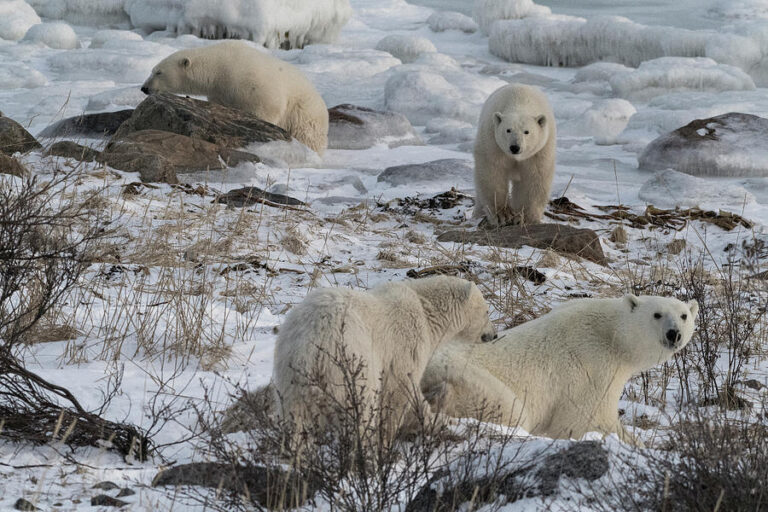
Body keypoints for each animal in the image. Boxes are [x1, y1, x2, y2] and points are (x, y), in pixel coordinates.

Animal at [141, 40, 329, 155]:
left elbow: (267, 108)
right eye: (153, 70)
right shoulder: (220, 91)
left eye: (158, 72)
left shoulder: (250, 82)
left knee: (307, 136)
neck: (220, 67)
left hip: (304, 115)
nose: (144, 88)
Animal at [272, 275, 496, 441]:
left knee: (296, 420)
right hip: (350, 361)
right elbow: (400, 390)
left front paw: (439, 418)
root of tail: (309, 347)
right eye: (487, 311)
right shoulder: (406, 344)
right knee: (361, 409)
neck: (425, 309)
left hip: (288, 375)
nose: (493, 335)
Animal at [421, 295, 698, 445]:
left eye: (684, 315)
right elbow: (587, 420)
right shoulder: (593, 368)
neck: (612, 336)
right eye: (657, 314)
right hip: (469, 378)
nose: (674, 334)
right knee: (511, 410)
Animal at [473, 83, 556, 226]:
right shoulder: (492, 141)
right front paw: (502, 215)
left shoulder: (539, 150)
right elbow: (493, 172)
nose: (515, 147)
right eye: (508, 130)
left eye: (526, 131)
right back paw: (477, 214)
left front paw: (524, 217)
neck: (519, 100)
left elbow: (534, 178)